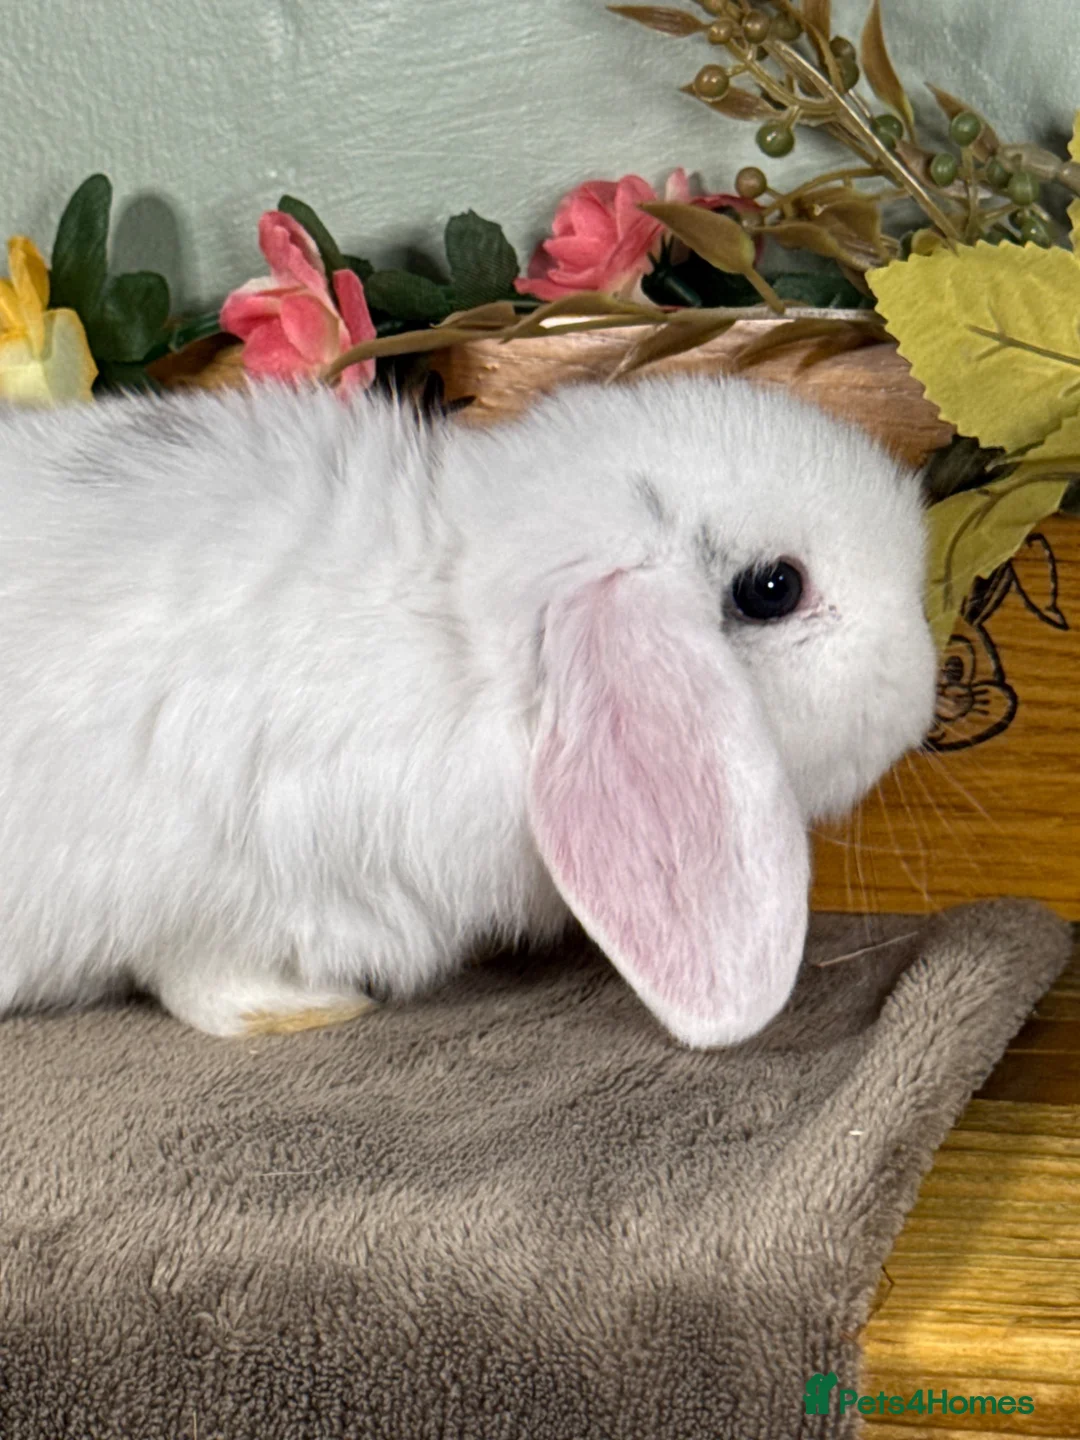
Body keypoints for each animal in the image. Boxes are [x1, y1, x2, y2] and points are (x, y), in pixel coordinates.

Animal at [0, 372, 937, 1047]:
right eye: (773, 588)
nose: (926, 679)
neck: (460, 627)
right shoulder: (220, 895)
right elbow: (203, 982)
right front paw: (313, 1010)